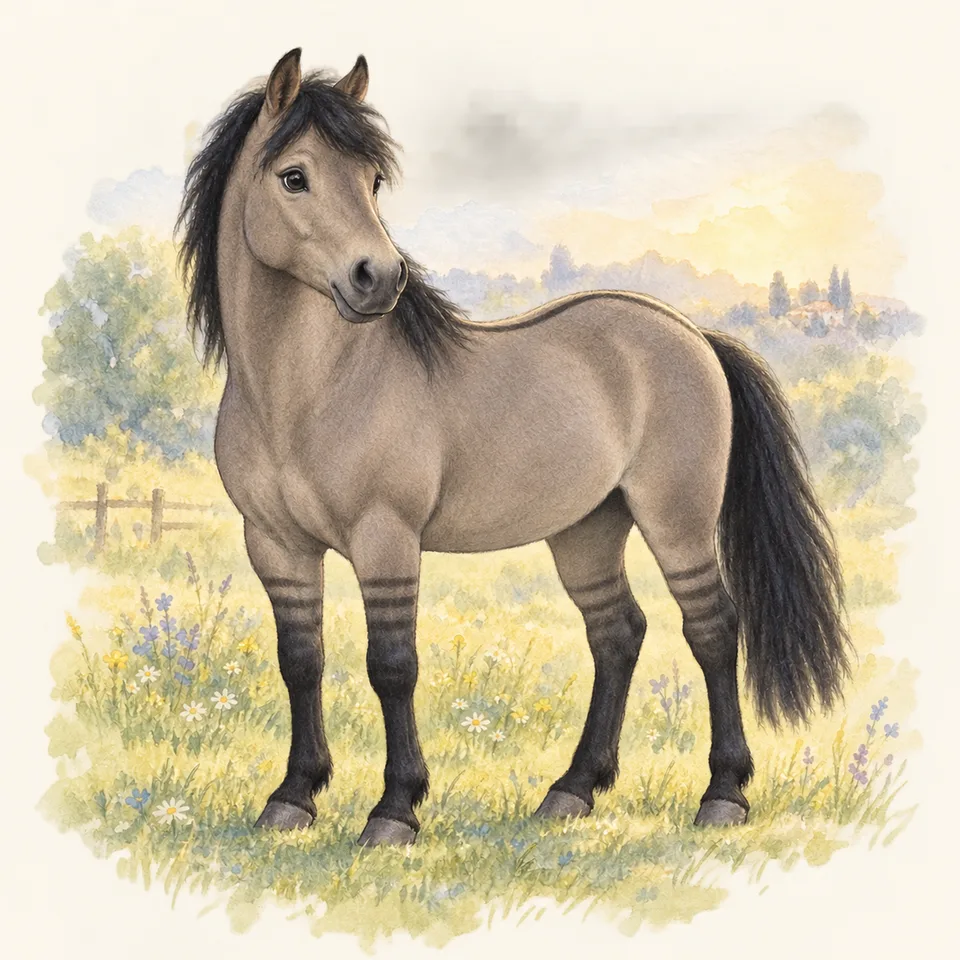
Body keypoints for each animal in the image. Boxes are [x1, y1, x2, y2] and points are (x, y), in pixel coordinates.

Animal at [176, 48, 850, 847]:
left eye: (372, 180)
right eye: (293, 176)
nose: (378, 278)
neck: (308, 392)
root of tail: (692, 335)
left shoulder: (385, 540)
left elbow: (392, 665)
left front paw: (395, 809)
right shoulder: (275, 545)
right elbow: (301, 661)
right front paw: (292, 797)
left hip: (676, 522)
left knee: (712, 630)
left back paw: (723, 794)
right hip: (588, 529)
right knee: (617, 633)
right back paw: (572, 790)